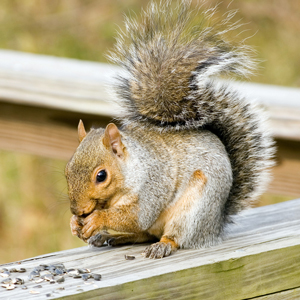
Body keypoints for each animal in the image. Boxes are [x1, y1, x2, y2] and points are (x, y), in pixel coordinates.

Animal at [65, 0, 274, 258]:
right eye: (67, 170)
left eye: (101, 176)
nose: (78, 210)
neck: (134, 167)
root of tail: (214, 226)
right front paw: (75, 224)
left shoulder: (152, 185)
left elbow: (136, 216)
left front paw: (96, 220)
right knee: (142, 235)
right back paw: (110, 237)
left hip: (194, 211)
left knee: (172, 235)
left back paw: (162, 244)